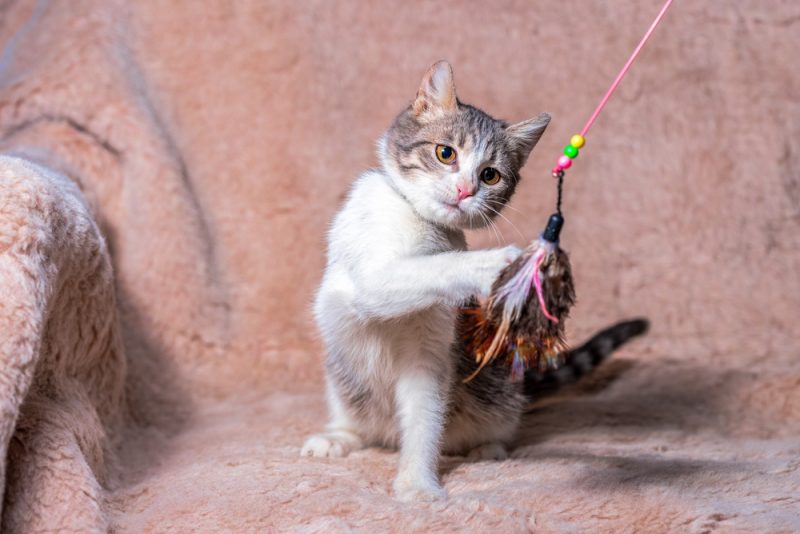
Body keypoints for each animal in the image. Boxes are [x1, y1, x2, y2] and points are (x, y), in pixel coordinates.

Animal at [300, 60, 644, 504]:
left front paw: (416, 480)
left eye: (491, 175)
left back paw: (488, 448)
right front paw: (500, 264)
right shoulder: (369, 273)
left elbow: (425, 413)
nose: (465, 190)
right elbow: (426, 270)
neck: (422, 224)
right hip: (341, 378)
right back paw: (337, 437)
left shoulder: (431, 350)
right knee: (356, 422)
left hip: (496, 396)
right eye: (445, 153)